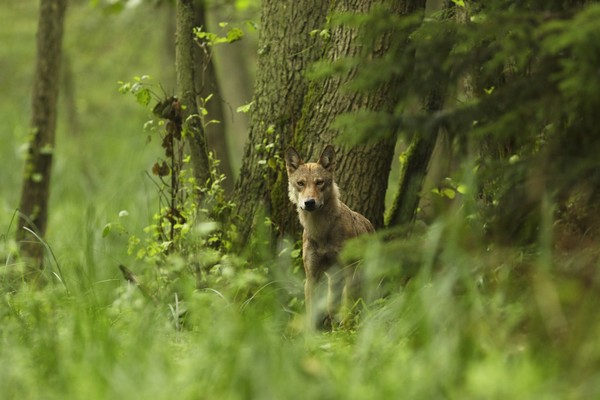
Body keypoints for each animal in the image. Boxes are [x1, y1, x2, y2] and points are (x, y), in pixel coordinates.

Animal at [284, 145, 372, 330]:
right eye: (301, 183)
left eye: (319, 182)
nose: (309, 202)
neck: (321, 231)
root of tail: (368, 223)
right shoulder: (311, 277)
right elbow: (311, 313)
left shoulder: (349, 273)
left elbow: (348, 310)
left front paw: (346, 334)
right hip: (333, 283)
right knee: (333, 310)